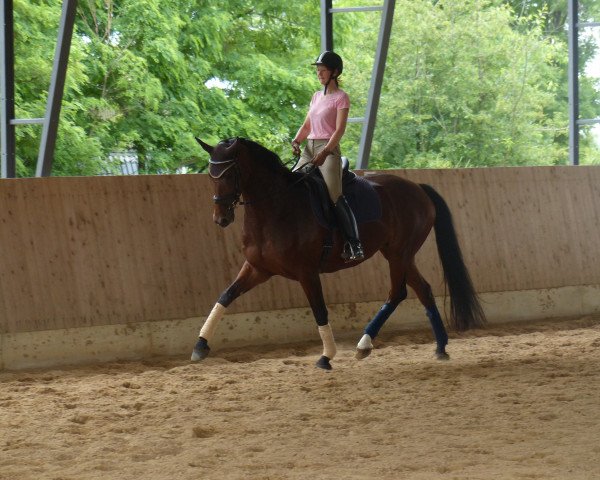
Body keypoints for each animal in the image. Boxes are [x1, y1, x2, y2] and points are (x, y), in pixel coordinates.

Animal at [190, 137, 486, 370]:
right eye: (211, 176)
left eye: (229, 175)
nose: (221, 218)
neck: (276, 208)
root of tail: (417, 188)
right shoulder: (258, 268)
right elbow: (225, 296)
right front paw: (200, 346)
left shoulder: (307, 272)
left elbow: (320, 311)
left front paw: (326, 356)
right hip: (400, 254)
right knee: (422, 289)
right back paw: (439, 347)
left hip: (398, 254)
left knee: (397, 292)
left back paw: (365, 344)